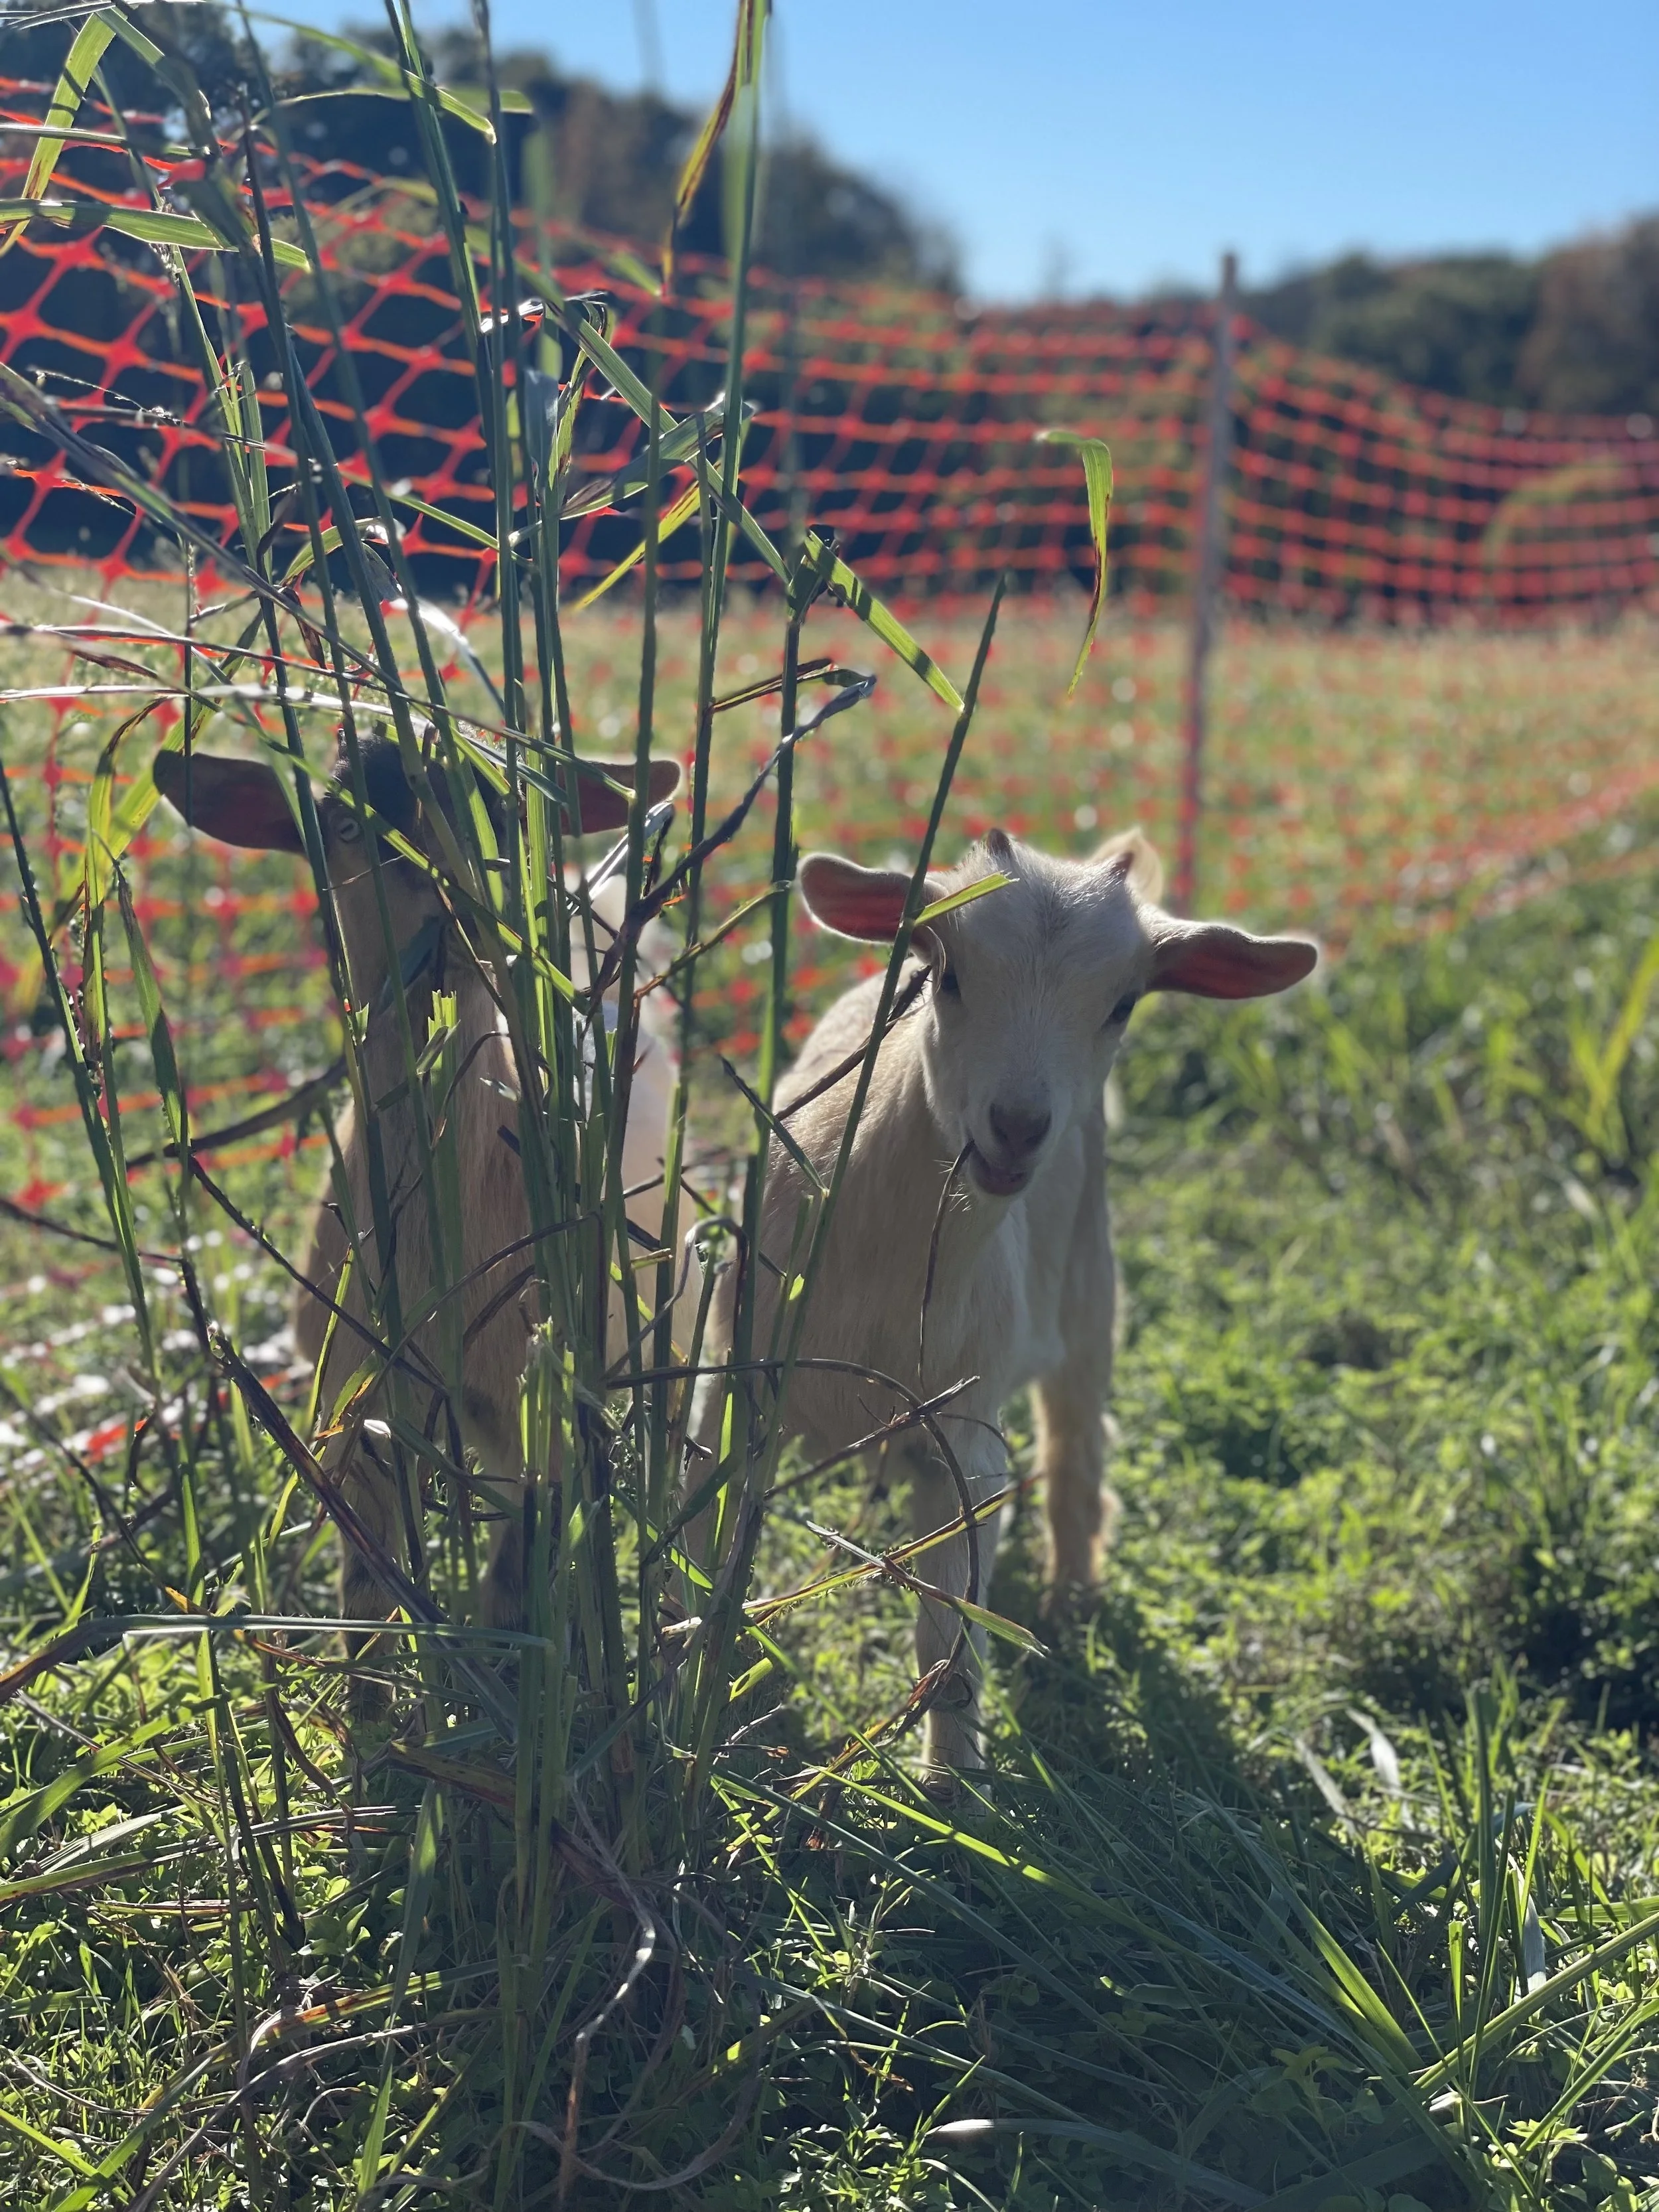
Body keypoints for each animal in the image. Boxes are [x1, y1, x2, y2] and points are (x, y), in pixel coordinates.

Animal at [153, 732, 682, 1676]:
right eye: (339, 822)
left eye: (501, 808)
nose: (456, 916)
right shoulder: (358, 1408)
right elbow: (367, 1593)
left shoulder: (539, 1401)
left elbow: (514, 1573)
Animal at [701, 824, 1316, 1782]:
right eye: (948, 974)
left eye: (1123, 1005)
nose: (1020, 1127)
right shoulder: (728, 1380)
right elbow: (702, 1562)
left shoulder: (957, 1437)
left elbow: (950, 1635)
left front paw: (949, 1788)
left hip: (1090, 1294)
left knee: (1075, 1454)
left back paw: (1072, 1601)